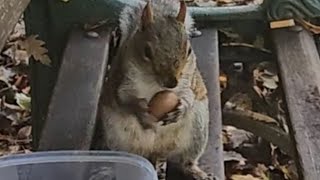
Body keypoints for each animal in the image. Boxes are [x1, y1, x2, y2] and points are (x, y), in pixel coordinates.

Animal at [97, 0, 212, 179]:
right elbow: (124, 99)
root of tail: (156, 151)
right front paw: (141, 110)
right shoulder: (123, 80)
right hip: (116, 137)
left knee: (186, 161)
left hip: (197, 131)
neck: (155, 85)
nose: (171, 83)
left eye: (189, 51)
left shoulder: (189, 80)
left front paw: (182, 107)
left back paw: (196, 171)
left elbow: (189, 95)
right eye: (147, 52)